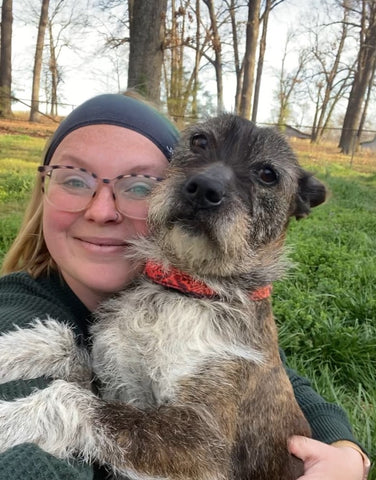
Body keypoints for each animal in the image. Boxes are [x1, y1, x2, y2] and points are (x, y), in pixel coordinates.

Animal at [0, 113, 326, 480]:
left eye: (268, 174)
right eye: (200, 140)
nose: (204, 188)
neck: (181, 289)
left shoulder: (203, 448)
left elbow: (67, 399)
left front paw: (4, 421)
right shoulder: (113, 379)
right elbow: (60, 341)